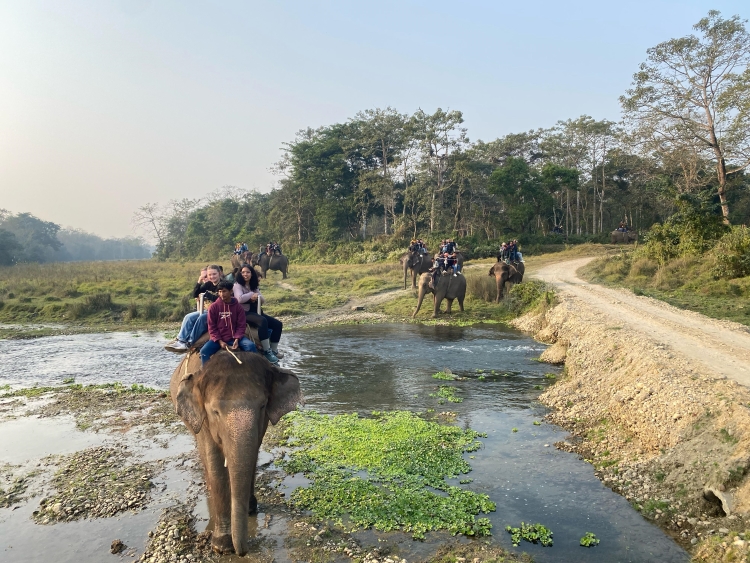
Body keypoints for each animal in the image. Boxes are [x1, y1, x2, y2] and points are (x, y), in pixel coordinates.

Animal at [173, 352, 306, 556]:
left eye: (262, 405)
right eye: (215, 412)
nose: (242, 552)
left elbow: (253, 454)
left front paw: (251, 508)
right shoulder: (203, 421)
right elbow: (215, 465)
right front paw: (222, 546)